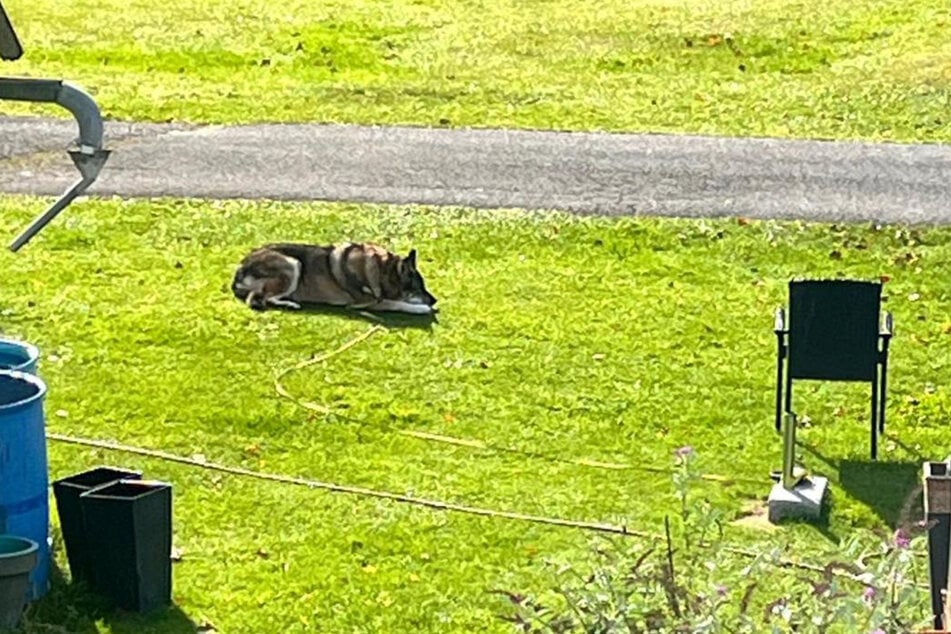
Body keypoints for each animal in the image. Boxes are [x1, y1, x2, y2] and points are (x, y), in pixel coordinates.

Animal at [231, 239, 438, 314]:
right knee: (261, 297)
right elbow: (396, 303)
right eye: (418, 288)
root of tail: (240, 269)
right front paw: (422, 308)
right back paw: (290, 304)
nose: (435, 300)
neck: (380, 269)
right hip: (292, 264)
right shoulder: (367, 302)